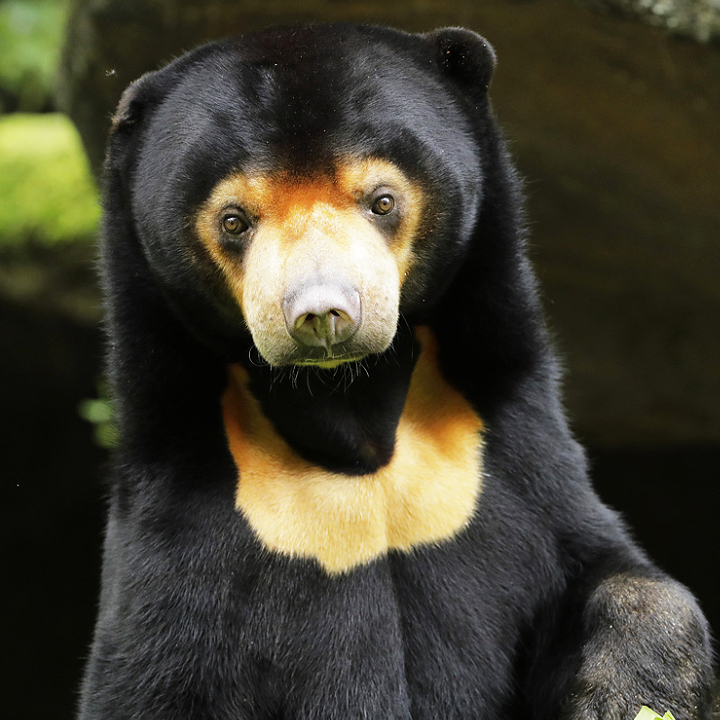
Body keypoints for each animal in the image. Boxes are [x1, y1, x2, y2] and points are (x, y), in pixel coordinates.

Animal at [78, 23, 714, 720]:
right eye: (234, 220)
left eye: (381, 199)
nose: (322, 315)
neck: (352, 412)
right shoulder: (192, 525)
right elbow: (156, 677)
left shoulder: (506, 460)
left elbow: (600, 566)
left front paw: (632, 694)